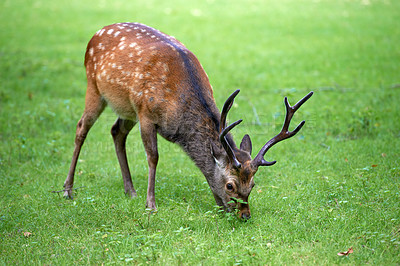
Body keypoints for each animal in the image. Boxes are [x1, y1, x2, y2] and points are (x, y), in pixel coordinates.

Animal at [63, 22, 312, 218]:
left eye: (252, 184)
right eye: (230, 185)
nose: (245, 215)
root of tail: (96, 33)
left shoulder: (139, 111)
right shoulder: (146, 113)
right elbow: (153, 157)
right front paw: (151, 205)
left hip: (126, 107)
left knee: (116, 131)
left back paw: (130, 190)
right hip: (94, 87)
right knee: (81, 128)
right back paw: (68, 189)